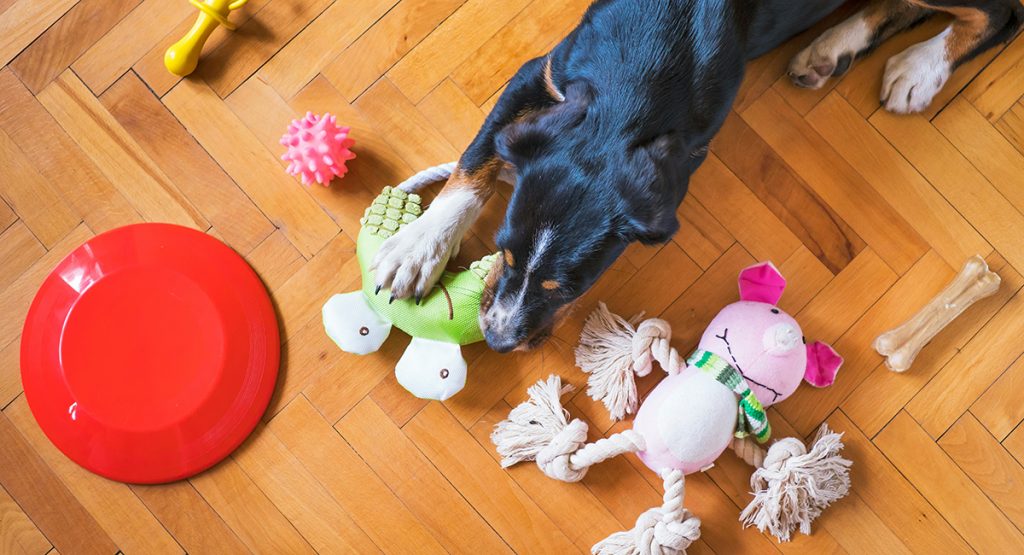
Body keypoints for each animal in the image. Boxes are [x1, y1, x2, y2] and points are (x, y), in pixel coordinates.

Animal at [372, 0, 1019, 354]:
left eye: (569, 286)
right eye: (503, 253)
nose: (500, 340)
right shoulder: (542, 72)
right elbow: (476, 157)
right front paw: (416, 247)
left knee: (1000, 15)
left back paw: (920, 68)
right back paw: (833, 47)